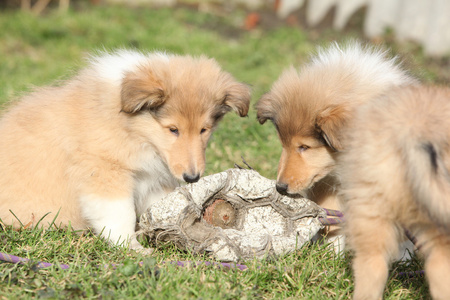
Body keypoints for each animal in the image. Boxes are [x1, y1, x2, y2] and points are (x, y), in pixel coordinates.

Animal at [0, 49, 251, 251]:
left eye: (204, 130)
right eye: (173, 129)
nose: (192, 177)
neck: (133, 130)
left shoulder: (153, 179)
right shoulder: (104, 170)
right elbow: (120, 213)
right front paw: (131, 247)